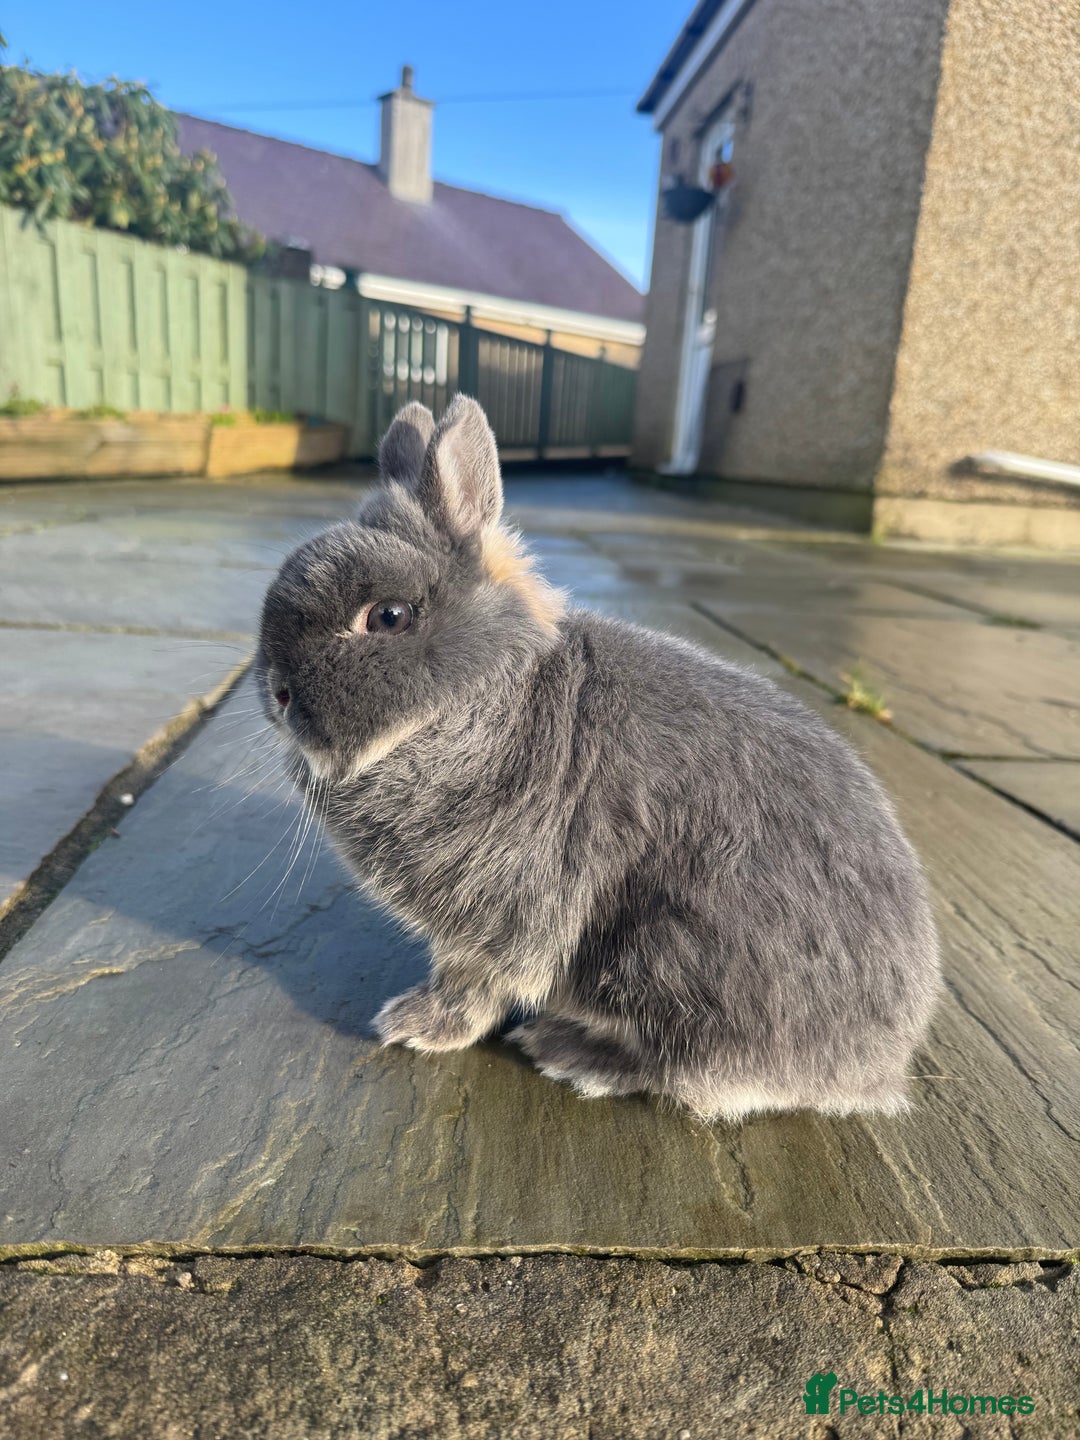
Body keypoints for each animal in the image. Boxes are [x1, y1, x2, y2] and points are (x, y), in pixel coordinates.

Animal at [254, 395, 940, 1124]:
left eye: (388, 616)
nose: (278, 694)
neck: (485, 698)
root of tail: (873, 1069)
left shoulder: (506, 914)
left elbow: (474, 986)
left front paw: (415, 1026)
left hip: (664, 957)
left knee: (692, 1068)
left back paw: (568, 1051)